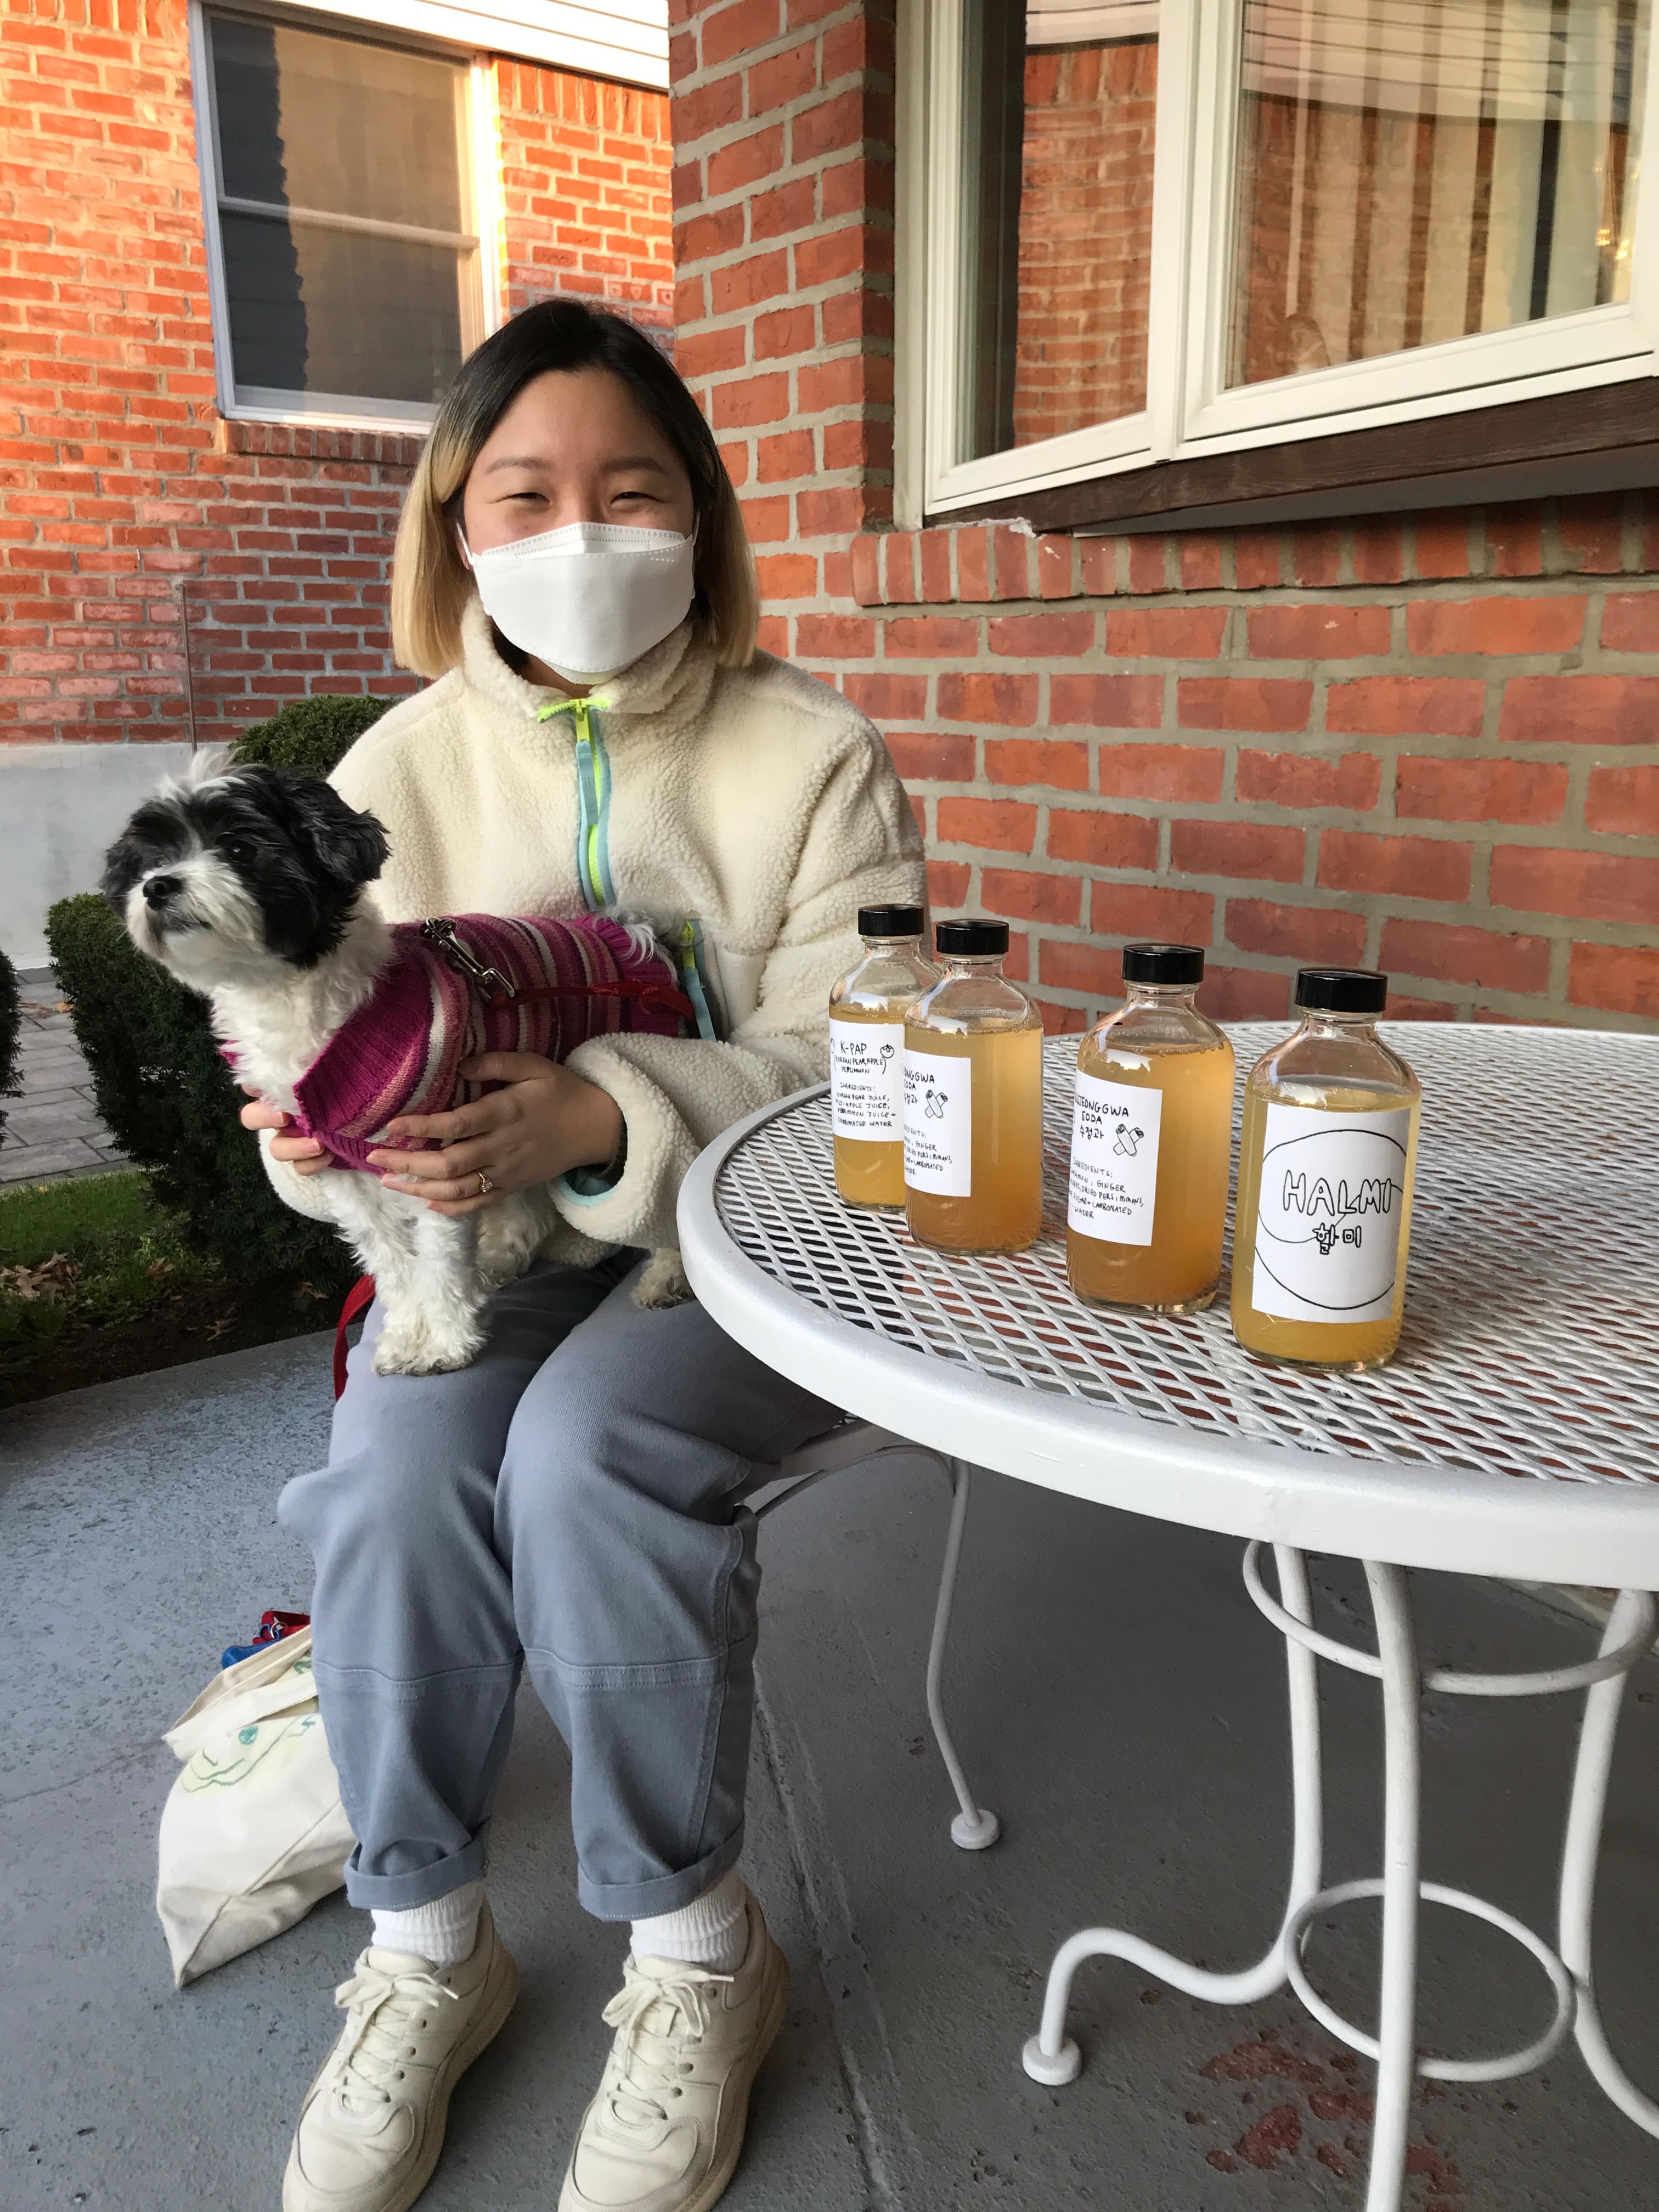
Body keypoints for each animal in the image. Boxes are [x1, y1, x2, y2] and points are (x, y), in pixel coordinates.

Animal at [104, 765, 690, 1380]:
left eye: (239, 848)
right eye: (153, 858)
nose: (158, 887)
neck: (297, 1001)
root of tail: (633, 938)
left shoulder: (433, 1150)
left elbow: (439, 1255)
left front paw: (446, 1341)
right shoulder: (337, 1163)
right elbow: (389, 1254)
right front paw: (409, 1332)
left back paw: (665, 1276)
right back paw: (500, 1256)